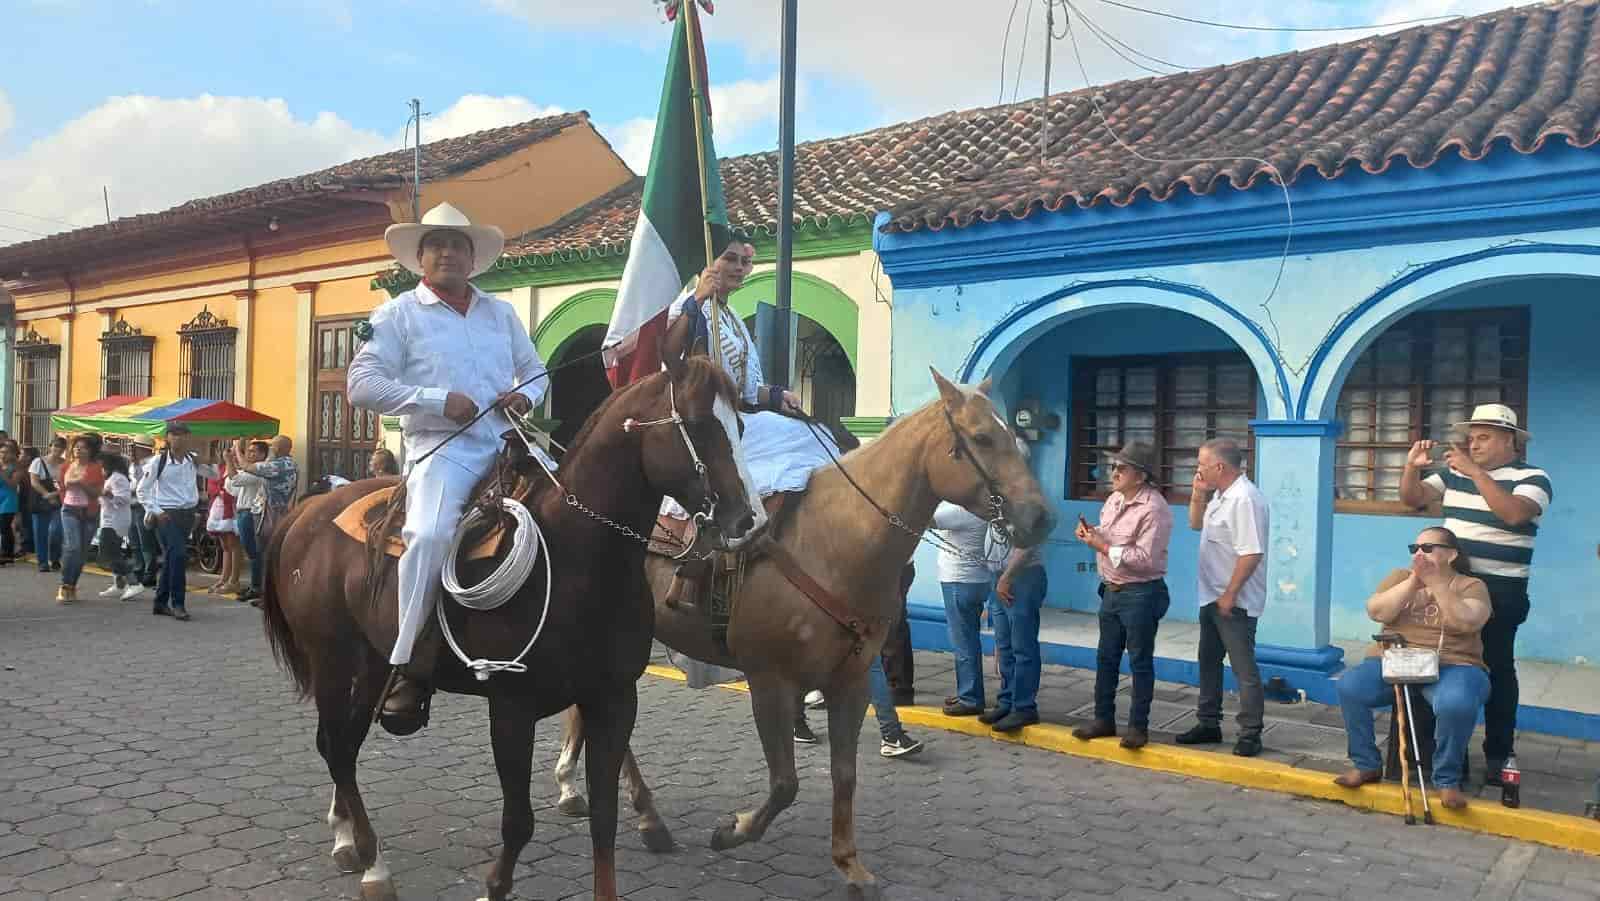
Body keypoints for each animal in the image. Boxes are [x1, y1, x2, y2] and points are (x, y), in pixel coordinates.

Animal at [257, 352, 768, 901]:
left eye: (740, 424)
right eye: (696, 424)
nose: (749, 520)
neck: (575, 556)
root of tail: (307, 510)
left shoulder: (613, 699)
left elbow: (604, 817)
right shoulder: (511, 709)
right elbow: (518, 822)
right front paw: (494, 885)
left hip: (372, 662)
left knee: (345, 744)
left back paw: (348, 837)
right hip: (330, 660)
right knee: (336, 747)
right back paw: (373, 864)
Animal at [556, 368, 1056, 901]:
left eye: (1014, 438)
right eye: (981, 438)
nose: (1041, 518)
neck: (833, 541)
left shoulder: (851, 682)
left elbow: (844, 774)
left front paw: (850, 863)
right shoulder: (769, 680)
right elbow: (785, 783)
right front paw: (732, 830)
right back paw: (635, 812)